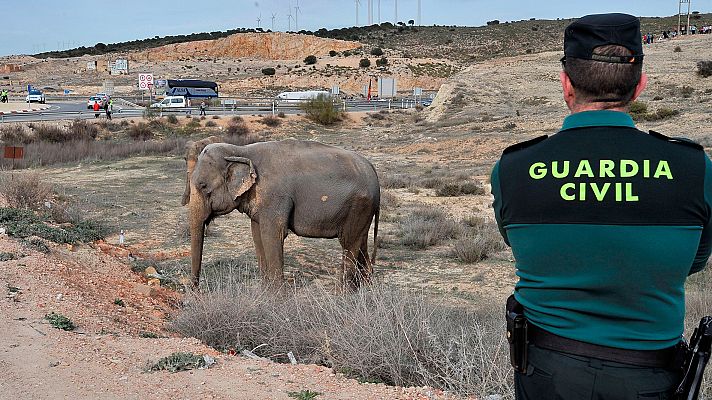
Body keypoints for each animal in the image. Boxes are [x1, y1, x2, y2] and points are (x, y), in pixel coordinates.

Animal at [187, 139, 380, 290]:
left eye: (203, 186)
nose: (196, 291)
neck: (241, 150)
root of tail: (372, 170)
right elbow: (257, 235)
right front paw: (265, 292)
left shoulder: (275, 197)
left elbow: (273, 235)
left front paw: (277, 297)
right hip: (364, 210)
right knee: (360, 241)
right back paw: (364, 289)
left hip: (359, 205)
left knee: (348, 243)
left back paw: (343, 294)